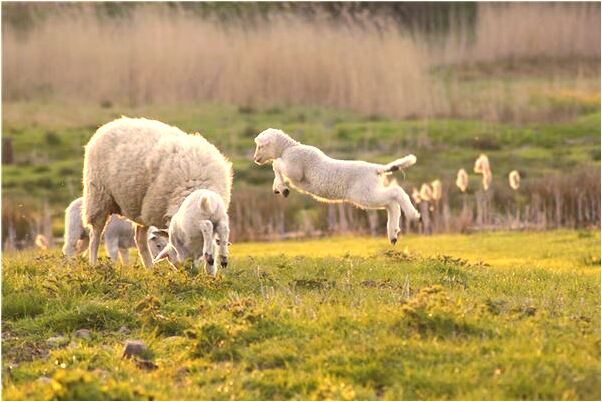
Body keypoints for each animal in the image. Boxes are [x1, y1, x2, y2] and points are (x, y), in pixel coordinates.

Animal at [252, 128, 418, 245]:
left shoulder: (295, 169)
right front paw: (279, 188)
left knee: (396, 193)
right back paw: (393, 234)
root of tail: (376, 168)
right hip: (369, 193)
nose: (255, 159)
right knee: (391, 204)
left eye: (260, 146)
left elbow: (276, 164)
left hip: (365, 193)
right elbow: (277, 169)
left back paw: (413, 215)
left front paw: (281, 187)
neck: (288, 149)